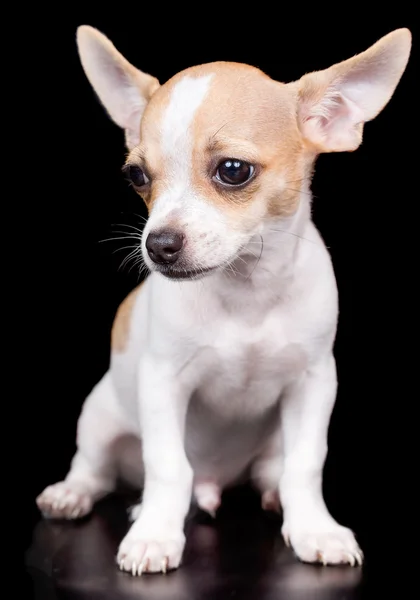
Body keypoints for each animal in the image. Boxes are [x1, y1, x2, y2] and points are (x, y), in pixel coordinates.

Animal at [36, 25, 410, 576]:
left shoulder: (315, 382)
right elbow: (167, 465)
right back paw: (76, 494)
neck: (247, 291)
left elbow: (306, 464)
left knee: (273, 469)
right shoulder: (162, 382)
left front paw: (313, 528)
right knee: (95, 468)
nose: (158, 244)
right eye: (137, 177)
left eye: (233, 170)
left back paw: (273, 495)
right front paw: (155, 535)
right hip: (100, 417)